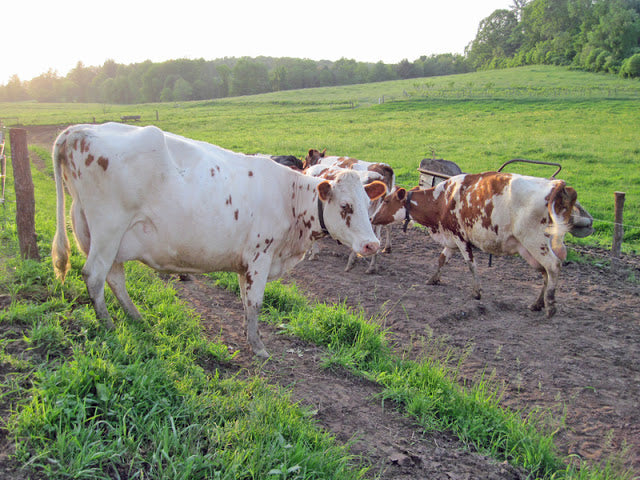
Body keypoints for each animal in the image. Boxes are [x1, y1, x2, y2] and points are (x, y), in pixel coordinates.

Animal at [51, 123, 384, 356]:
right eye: (346, 206)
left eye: (368, 204)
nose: (372, 245)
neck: (289, 197)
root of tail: (77, 130)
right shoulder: (260, 256)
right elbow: (256, 303)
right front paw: (259, 347)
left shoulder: (244, 263)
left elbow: (246, 302)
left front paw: (251, 339)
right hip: (108, 227)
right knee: (94, 275)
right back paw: (108, 325)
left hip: (100, 234)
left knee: (114, 278)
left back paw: (136, 319)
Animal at [370, 171, 580, 316]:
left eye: (386, 200)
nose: (372, 218)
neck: (442, 199)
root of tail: (556, 184)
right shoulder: (451, 238)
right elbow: (441, 259)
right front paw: (433, 279)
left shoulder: (460, 237)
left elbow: (471, 264)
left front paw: (477, 292)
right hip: (529, 248)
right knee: (545, 273)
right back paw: (537, 304)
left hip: (535, 241)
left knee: (553, 266)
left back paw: (550, 306)